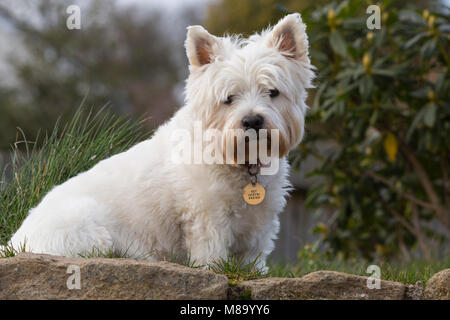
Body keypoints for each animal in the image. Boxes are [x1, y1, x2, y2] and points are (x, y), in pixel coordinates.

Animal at [8, 14, 314, 270]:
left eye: (273, 92)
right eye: (228, 98)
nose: (252, 121)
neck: (239, 162)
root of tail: (14, 243)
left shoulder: (260, 223)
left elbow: (253, 261)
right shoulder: (207, 217)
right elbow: (211, 257)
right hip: (90, 235)